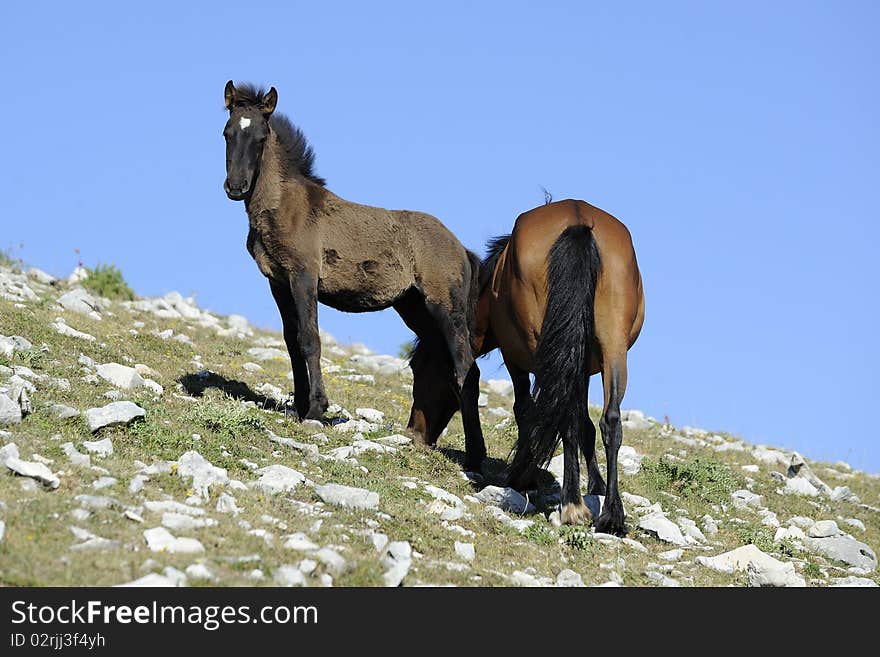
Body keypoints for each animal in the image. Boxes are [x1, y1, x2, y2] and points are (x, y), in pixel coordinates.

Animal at [220, 80, 482, 452]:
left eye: (259, 137)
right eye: (227, 132)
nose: (235, 187)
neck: (286, 206)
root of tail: (461, 248)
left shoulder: (304, 277)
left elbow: (309, 339)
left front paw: (316, 409)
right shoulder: (278, 282)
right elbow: (290, 342)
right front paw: (299, 405)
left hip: (444, 307)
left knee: (467, 368)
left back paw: (475, 456)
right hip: (415, 309)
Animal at [410, 199, 644, 532]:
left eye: (417, 367)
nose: (415, 432)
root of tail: (578, 220)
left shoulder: (514, 358)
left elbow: (525, 410)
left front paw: (522, 475)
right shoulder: (582, 365)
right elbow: (585, 425)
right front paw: (596, 486)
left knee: (560, 415)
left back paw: (571, 505)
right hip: (613, 349)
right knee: (610, 420)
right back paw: (612, 516)